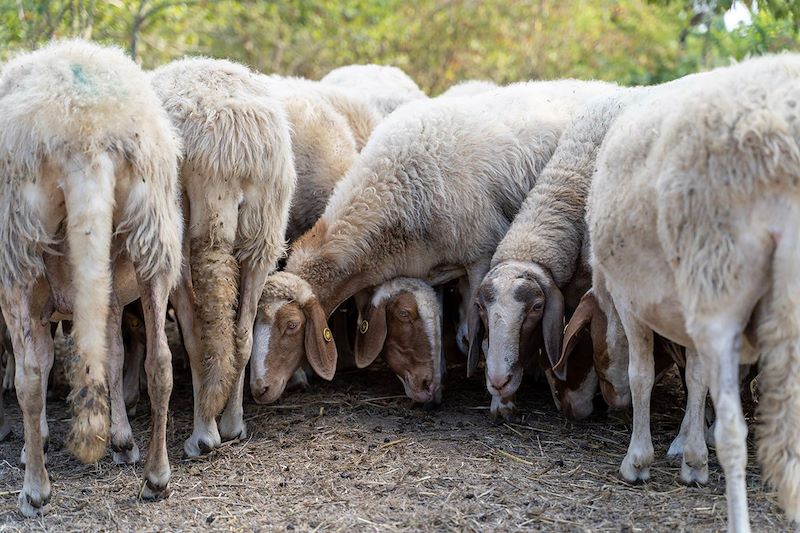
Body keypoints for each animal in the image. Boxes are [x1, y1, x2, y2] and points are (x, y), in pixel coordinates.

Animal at [0, 40, 182, 516]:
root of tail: (88, 130)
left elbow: (40, 363)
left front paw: (35, 449)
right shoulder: (109, 292)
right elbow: (114, 355)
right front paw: (120, 440)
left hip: (16, 248)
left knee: (29, 375)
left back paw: (34, 491)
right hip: (151, 232)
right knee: (159, 362)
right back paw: (156, 478)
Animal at [150, 58, 296, 458]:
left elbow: (193, 335)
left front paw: (203, 432)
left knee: (199, 333)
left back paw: (205, 432)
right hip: (265, 229)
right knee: (242, 334)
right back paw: (232, 425)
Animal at [588, 53, 800, 528]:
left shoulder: (631, 301)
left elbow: (643, 374)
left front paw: (640, 460)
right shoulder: (685, 309)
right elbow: (696, 378)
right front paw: (692, 458)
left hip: (719, 278)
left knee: (736, 432)